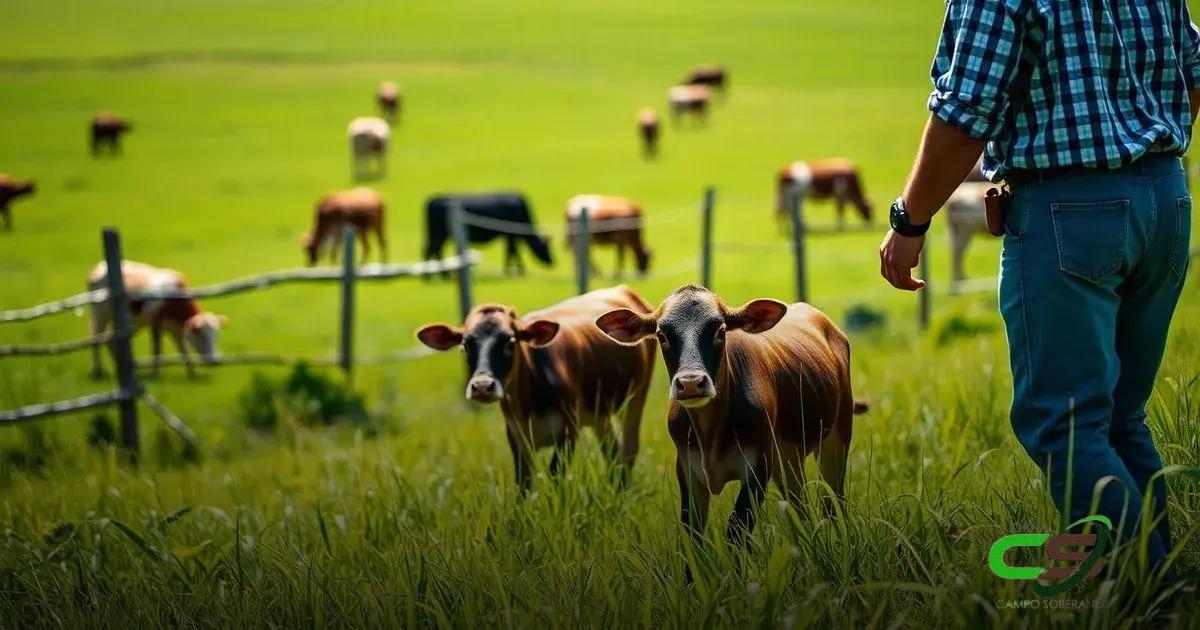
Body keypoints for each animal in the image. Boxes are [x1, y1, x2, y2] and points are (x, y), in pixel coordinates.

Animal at [87, 258, 229, 376]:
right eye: (202, 336)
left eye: (216, 336)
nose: (216, 361)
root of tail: (99, 268)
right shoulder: (155, 322)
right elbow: (157, 349)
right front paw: (155, 373)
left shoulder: (175, 327)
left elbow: (183, 349)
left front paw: (192, 372)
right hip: (100, 314)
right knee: (96, 338)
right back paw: (98, 370)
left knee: (110, 339)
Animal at [415, 283, 657, 487]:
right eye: (465, 345)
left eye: (510, 343)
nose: (482, 386)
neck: (528, 403)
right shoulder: (516, 436)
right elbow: (524, 482)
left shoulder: (568, 430)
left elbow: (556, 476)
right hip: (599, 413)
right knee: (613, 453)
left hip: (637, 395)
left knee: (629, 449)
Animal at [422, 192, 552, 274]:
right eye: (546, 248)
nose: (553, 262)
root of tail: (432, 200)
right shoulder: (511, 235)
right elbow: (512, 252)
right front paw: (518, 270)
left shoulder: (508, 235)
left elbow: (510, 251)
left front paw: (511, 270)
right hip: (439, 233)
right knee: (434, 250)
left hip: (438, 234)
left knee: (431, 250)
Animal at [592, 284, 864, 544]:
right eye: (662, 335)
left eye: (720, 330)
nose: (691, 383)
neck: (710, 433)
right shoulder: (688, 469)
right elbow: (693, 533)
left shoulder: (758, 466)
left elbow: (736, 529)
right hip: (788, 458)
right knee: (801, 506)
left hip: (837, 436)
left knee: (833, 502)